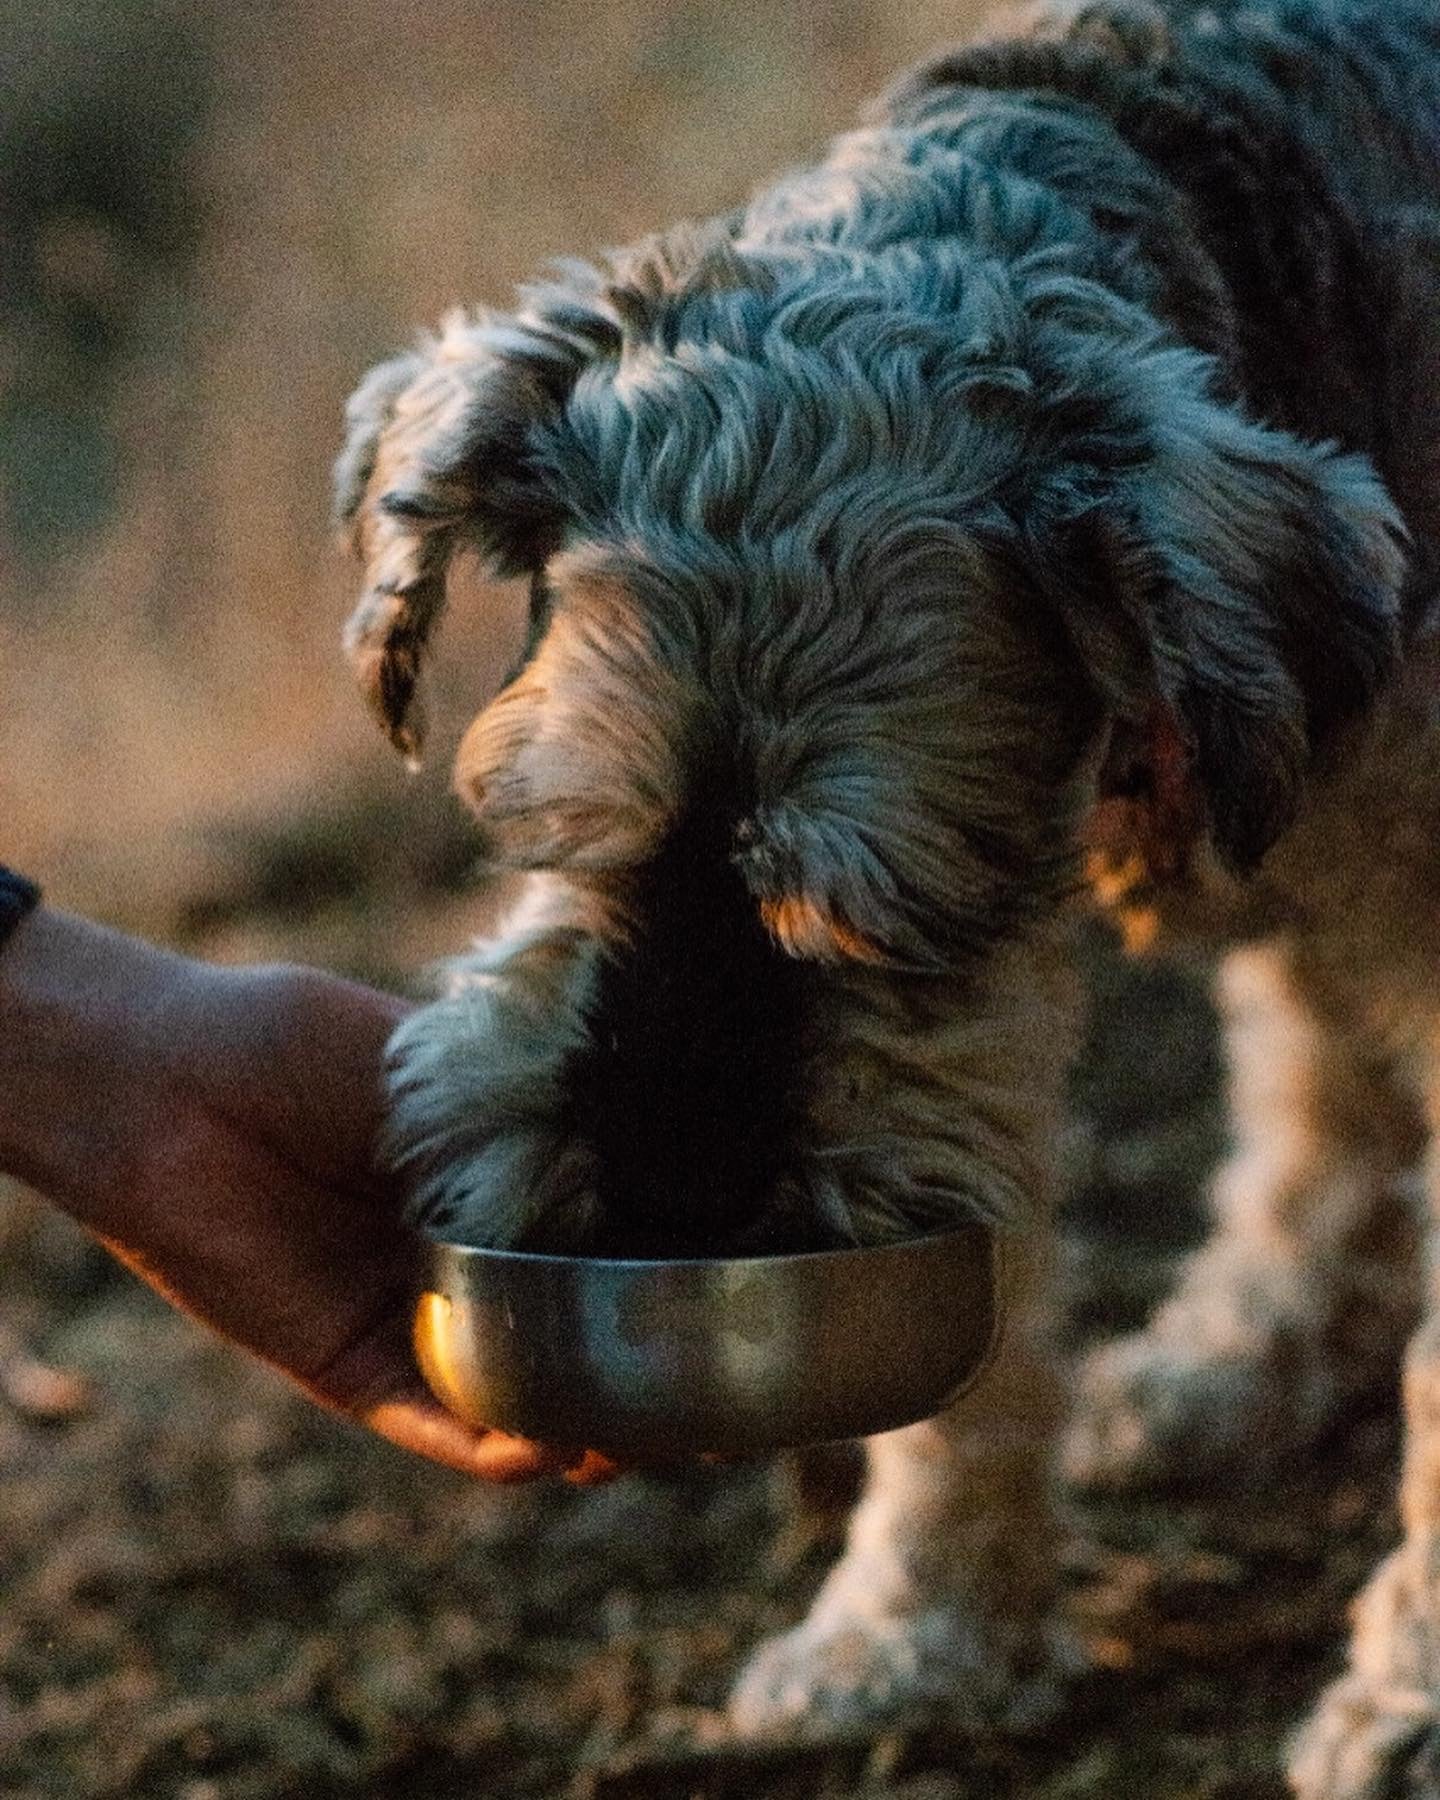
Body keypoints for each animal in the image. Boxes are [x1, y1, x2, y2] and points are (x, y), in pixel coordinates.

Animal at [338, 7, 1440, 1792]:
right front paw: (911, 1633)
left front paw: (1407, 1697)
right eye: (565, 833)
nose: (672, 1202)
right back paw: (1231, 1358)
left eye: (875, 914)